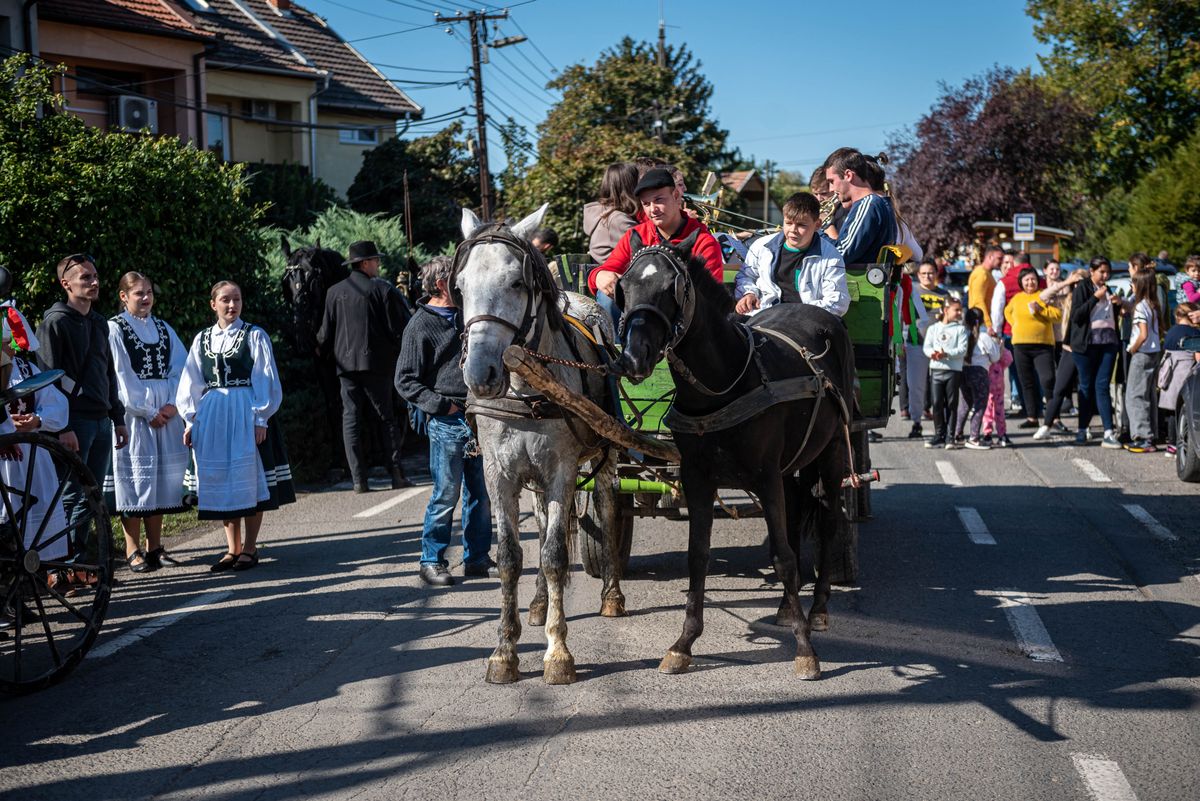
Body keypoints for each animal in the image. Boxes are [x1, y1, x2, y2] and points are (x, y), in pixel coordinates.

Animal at [282, 235, 350, 472]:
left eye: (314, 278)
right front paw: (339, 459)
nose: (302, 334)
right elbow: (332, 406)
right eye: (286, 281)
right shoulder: (322, 365)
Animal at [451, 205, 628, 681]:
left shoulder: (561, 469)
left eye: (516, 282)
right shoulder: (499, 474)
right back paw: (538, 602)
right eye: (460, 287)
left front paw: (558, 652)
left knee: (606, 508)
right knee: (547, 519)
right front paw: (504, 651)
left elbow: (552, 555)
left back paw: (611, 594)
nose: (480, 374)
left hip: (604, 456)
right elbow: (511, 557)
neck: (525, 388)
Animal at [614, 227, 859, 681]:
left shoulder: (765, 476)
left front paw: (805, 650)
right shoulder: (698, 477)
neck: (724, 380)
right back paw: (786, 607)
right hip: (790, 469)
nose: (634, 358)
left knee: (829, 521)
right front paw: (684, 643)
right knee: (795, 519)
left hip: (832, 454)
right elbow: (698, 555)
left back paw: (817, 609)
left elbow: (783, 558)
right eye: (624, 286)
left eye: (672, 288)